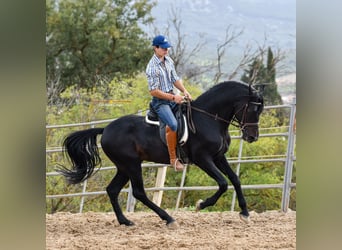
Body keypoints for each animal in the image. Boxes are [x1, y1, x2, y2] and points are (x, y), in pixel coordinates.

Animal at [58, 80, 264, 227]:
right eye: (253, 108)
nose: (252, 137)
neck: (208, 119)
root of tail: (106, 128)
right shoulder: (203, 159)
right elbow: (222, 183)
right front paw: (201, 205)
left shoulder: (218, 157)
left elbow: (235, 179)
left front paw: (245, 213)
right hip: (131, 165)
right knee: (139, 192)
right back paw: (168, 218)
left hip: (124, 167)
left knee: (113, 190)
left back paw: (126, 221)